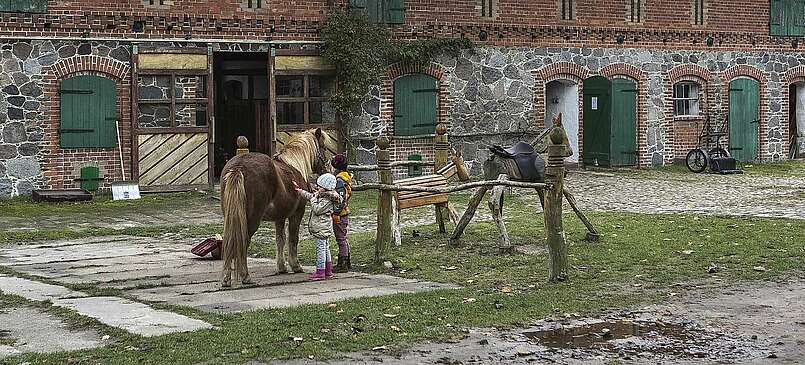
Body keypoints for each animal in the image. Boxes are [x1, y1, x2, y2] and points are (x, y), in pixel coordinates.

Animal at [218, 128, 334, 288]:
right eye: (322, 147)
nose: (327, 170)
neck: (294, 166)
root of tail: (238, 167)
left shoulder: (279, 217)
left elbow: (280, 239)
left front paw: (282, 267)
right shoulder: (296, 214)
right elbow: (293, 238)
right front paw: (295, 265)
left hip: (231, 217)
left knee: (230, 241)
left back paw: (226, 278)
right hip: (251, 219)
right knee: (243, 242)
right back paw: (245, 276)